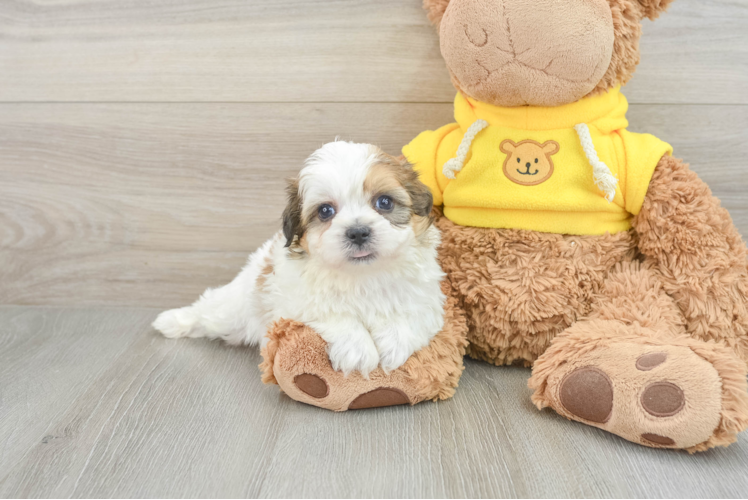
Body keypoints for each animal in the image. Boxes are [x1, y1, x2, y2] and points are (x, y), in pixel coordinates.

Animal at [152, 141, 444, 376]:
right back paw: (171, 321)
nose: (358, 232)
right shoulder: (294, 300)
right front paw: (358, 350)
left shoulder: (427, 297)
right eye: (325, 211)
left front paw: (394, 343)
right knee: (207, 310)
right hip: (233, 308)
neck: (362, 274)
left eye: (384, 202)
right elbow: (333, 313)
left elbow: (411, 313)